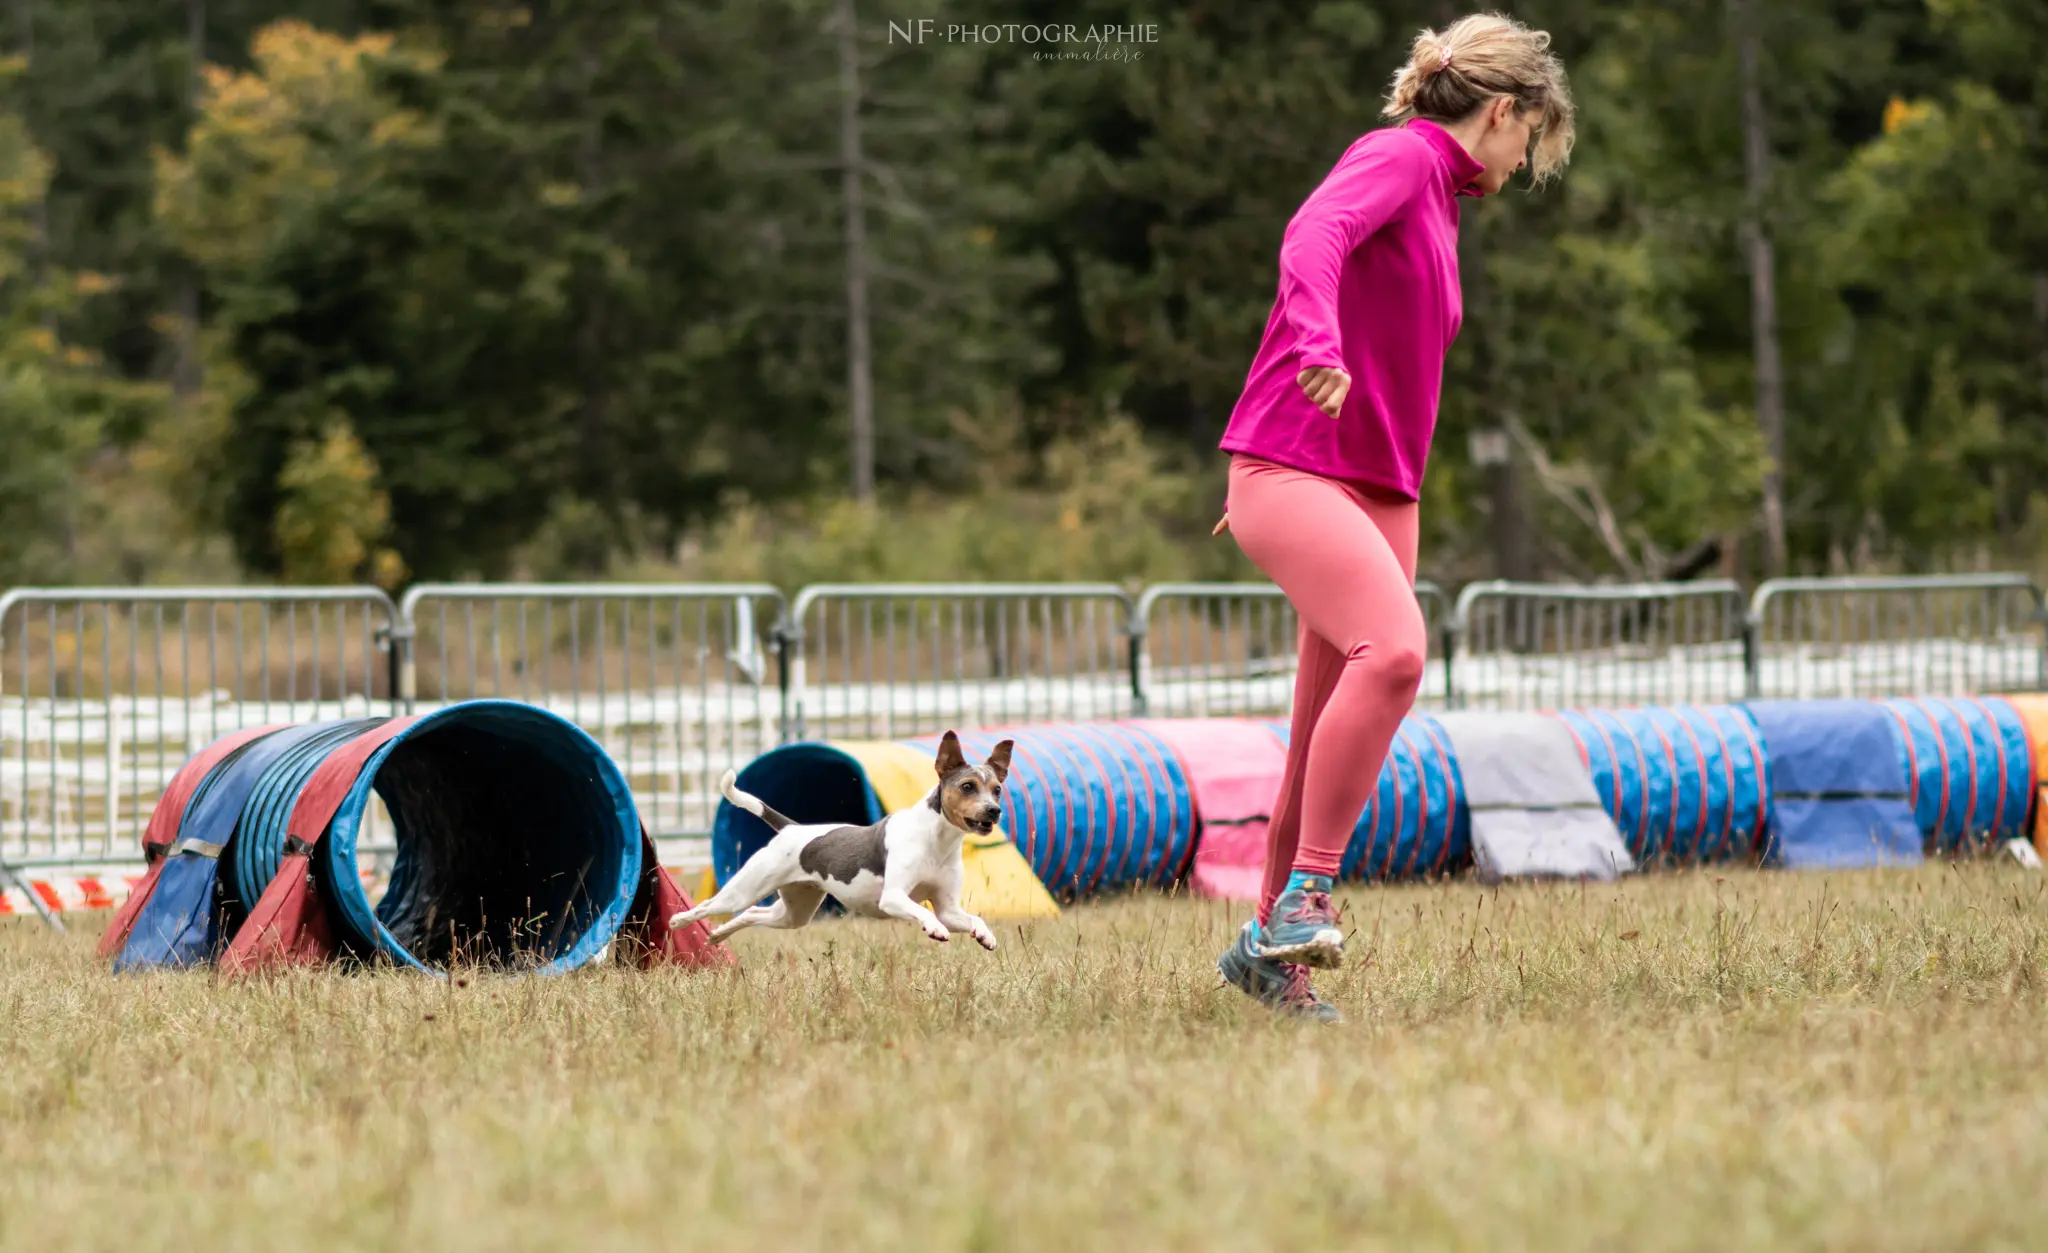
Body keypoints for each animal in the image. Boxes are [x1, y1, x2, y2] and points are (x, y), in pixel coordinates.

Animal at [667, 728, 1011, 945]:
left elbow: (973, 919)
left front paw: (985, 936)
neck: (937, 840)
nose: (994, 810)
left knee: (753, 913)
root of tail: (791, 827)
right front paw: (934, 929)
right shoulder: (893, 897)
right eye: (967, 786)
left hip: (795, 911)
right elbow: (923, 911)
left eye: (997, 789)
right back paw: (680, 921)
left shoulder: (949, 909)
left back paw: (717, 936)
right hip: (744, 889)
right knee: (709, 905)